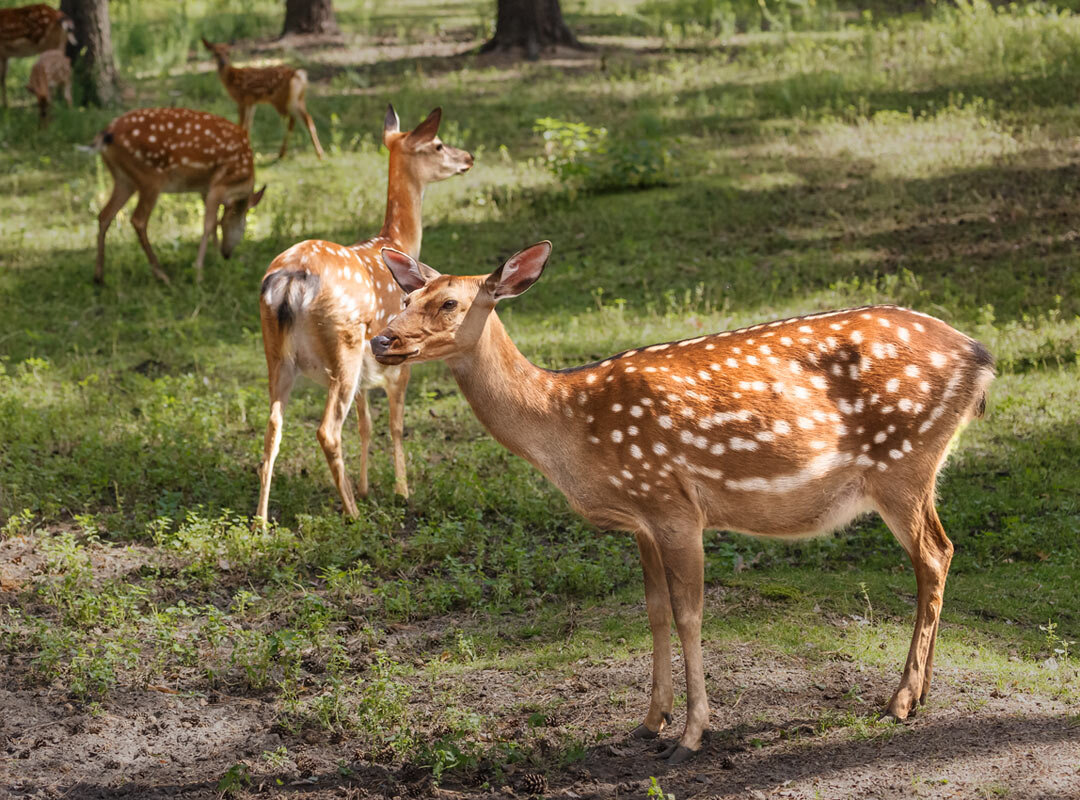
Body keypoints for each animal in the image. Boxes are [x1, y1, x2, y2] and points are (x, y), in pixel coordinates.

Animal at [93, 107, 270, 285]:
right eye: (244, 227)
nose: (226, 254)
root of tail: (106, 134)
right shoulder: (218, 185)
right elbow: (208, 224)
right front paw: (199, 273)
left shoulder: (205, 188)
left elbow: (212, 222)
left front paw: (215, 258)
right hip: (150, 178)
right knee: (138, 220)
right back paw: (161, 274)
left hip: (124, 180)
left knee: (104, 215)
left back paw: (99, 276)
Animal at [254, 103, 475, 520]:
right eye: (439, 145)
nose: (469, 157)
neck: (395, 241)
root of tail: (291, 280)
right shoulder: (401, 357)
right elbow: (396, 423)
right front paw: (401, 491)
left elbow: (366, 423)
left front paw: (366, 486)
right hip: (343, 343)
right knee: (327, 430)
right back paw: (353, 514)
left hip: (277, 351)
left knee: (273, 425)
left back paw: (260, 520)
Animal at [371, 241, 993, 760]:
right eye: (405, 296)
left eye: (449, 302)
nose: (382, 339)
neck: (570, 425)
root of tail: (980, 358)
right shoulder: (642, 519)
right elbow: (653, 611)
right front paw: (650, 722)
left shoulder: (673, 504)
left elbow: (691, 613)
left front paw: (692, 735)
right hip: (916, 469)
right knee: (943, 551)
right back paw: (921, 693)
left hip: (903, 462)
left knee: (933, 555)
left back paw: (900, 699)